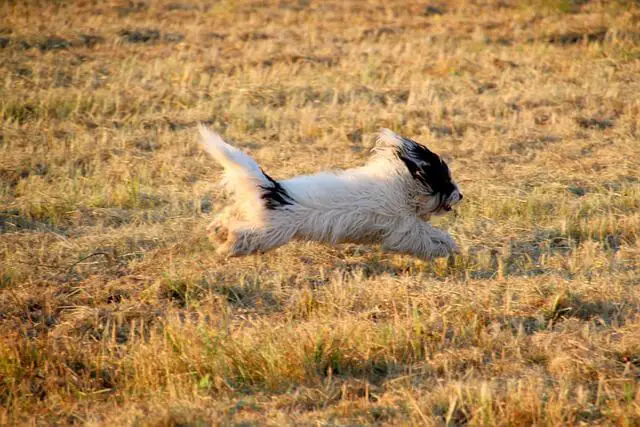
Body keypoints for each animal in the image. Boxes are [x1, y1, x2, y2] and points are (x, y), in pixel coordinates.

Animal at [198, 125, 462, 260]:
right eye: (446, 180)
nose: (461, 195)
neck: (401, 184)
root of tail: (273, 189)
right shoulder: (402, 225)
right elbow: (426, 235)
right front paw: (449, 247)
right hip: (272, 231)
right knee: (245, 235)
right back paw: (228, 245)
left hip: (254, 214)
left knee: (230, 216)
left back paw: (218, 231)